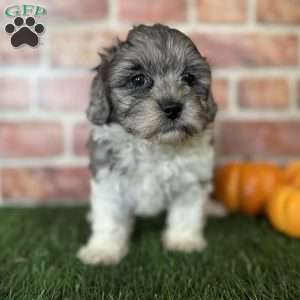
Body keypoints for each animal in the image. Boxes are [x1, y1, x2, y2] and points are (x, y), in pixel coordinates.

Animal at [77, 24, 223, 266]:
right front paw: (104, 250)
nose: (173, 108)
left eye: (189, 78)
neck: (154, 145)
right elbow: (110, 219)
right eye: (138, 80)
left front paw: (183, 241)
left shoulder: (191, 181)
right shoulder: (109, 181)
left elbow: (187, 213)